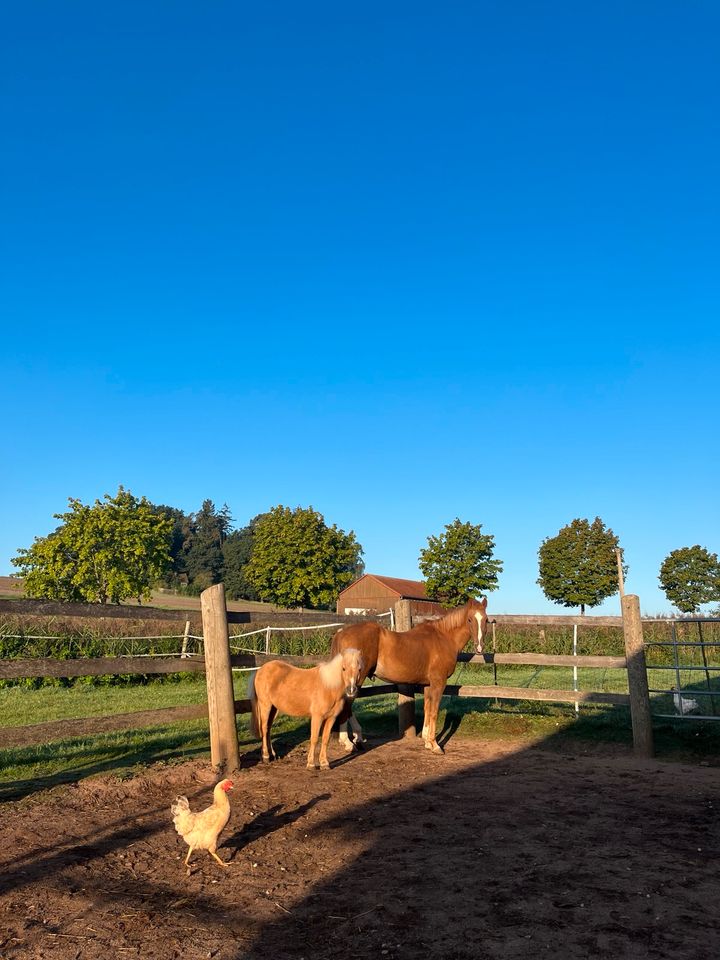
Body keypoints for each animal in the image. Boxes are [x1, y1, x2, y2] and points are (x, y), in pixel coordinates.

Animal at [250, 644, 366, 772]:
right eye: (343, 668)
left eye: (359, 669)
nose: (351, 690)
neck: (329, 687)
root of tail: (261, 670)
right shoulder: (317, 717)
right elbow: (314, 739)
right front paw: (311, 764)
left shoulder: (331, 718)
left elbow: (325, 740)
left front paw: (324, 763)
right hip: (265, 705)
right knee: (264, 728)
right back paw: (266, 756)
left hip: (274, 709)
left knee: (269, 729)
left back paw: (273, 754)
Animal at [332, 596, 490, 752]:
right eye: (469, 619)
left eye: (486, 619)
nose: (479, 647)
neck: (444, 638)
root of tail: (341, 633)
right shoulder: (439, 682)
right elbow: (434, 711)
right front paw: (435, 745)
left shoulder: (428, 685)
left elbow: (427, 709)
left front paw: (427, 741)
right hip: (357, 679)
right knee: (346, 705)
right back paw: (348, 742)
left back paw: (356, 738)